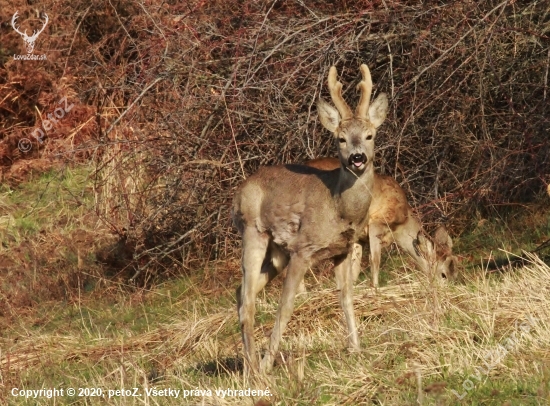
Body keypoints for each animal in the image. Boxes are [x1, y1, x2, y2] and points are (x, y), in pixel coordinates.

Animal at [231, 65, 390, 372]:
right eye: (340, 138)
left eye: (369, 135)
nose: (357, 158)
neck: (339, 207)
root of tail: (239, 192)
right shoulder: (301, 249)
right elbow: (286, 306)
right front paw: (268, 364)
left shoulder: (342, 249)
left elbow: (346, 297)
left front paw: (356, 349)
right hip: (253, 232)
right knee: (247, 302)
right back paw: (255, 367)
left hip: (277, 254)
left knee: (242, 294)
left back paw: (248, 363)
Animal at [306, 157, 458, 288]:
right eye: (443, 274)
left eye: (455, 268)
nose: (451, 289)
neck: (401, 224)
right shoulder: (377, 223)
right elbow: (375, 260)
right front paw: (375, 287)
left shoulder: (359, 237)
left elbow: (355, 265)